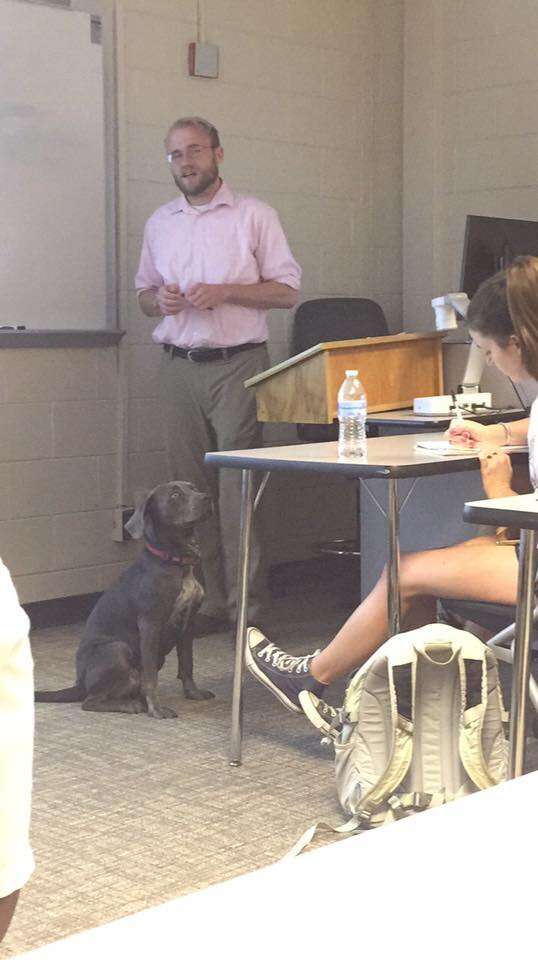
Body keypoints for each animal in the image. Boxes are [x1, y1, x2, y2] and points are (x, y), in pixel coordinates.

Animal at [34, 484, 215, 716]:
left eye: (193, 488)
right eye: (175, 495)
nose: (207, 497)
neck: (176, 561)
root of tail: (79, 683)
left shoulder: (188, 624)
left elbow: (187, 663)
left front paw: (193, 693)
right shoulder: (150, 625)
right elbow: (151, 677)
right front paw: (157, 710)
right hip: (117, 649)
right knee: (90, 702)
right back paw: (131, 705)